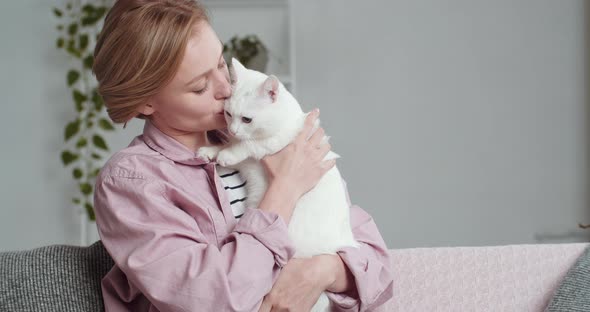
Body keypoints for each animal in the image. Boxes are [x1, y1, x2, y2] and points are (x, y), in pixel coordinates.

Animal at [199, 58, 360, 312]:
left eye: (247, 119)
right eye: (228, 114)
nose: (232, 129)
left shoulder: (274, 142)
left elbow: (248, 145)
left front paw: (227, 153)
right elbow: (229, 145)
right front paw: (210, 151)